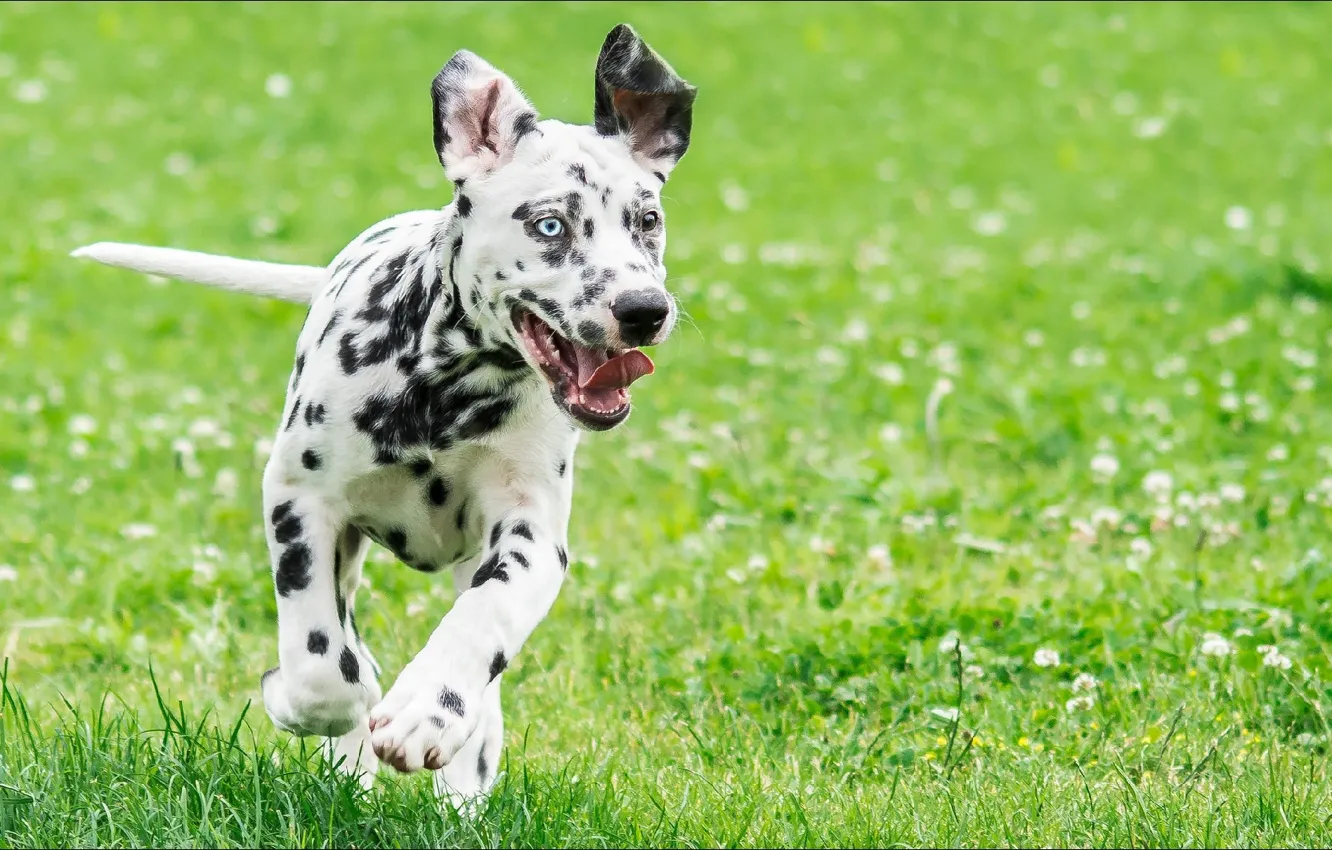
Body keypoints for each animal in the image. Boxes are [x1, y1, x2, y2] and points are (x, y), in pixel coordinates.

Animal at [71, 23, 697, 810]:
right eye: (550, 226)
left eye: (648, 221)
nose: (645, 309)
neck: (449, 390)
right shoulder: (301, 502)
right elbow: (321, 662)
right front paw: (315, 699)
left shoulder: (530, 533)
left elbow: (485, 618)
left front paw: (429, 711)